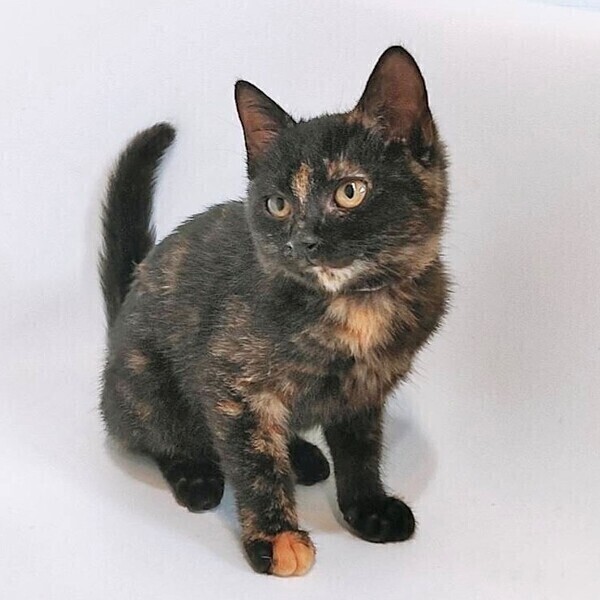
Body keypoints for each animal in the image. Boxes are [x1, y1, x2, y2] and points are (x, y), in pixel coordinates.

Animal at [99, 45, 448, 577]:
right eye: (278, 204)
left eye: (350, 191)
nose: (302, 241)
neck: (356, 304)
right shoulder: (231, 382)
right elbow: (256, 462)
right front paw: (275, 535)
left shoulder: (365, 389)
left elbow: (361, 449)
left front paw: (366, 506)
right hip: (146, 383)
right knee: (156, 433)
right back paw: (196, 475)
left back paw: (303, 456)